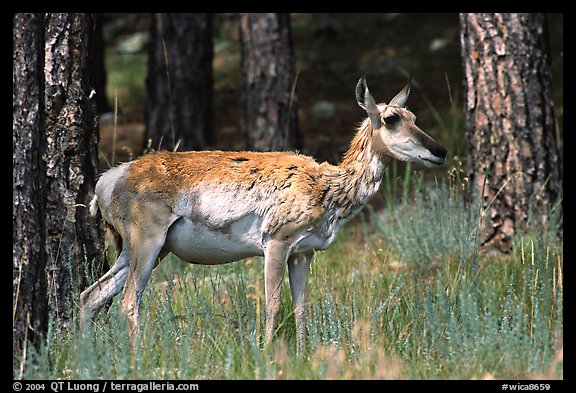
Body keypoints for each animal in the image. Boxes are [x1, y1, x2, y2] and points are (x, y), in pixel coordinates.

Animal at [79, 76, 448, 350]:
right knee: (128, 300)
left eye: (414, 117)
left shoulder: (304, 252)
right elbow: (272, 303)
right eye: (390, 119)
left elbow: (300, 306)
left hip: (144, 249)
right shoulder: (276, 241)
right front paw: (269, 353)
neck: (327, 188)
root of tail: (106, 182)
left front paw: (303, 353)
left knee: (91, 295)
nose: (440, 150)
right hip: (147, 241)